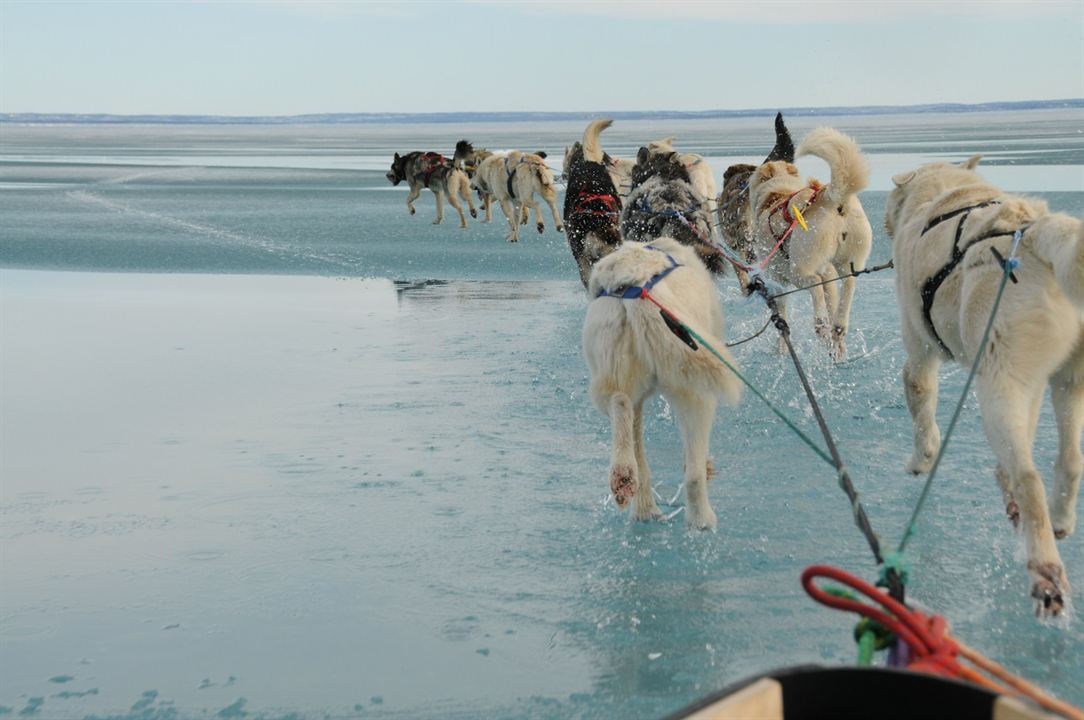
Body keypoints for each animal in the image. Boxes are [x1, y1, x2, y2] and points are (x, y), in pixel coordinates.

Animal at [585, 236, 745, 529]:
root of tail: (635, 284)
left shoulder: (637, 402)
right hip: (694, 390)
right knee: (692, 474)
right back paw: (701, 520)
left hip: (611, 375)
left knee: (621, 404)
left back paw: (630, 487)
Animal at [745, 127, 871, 357]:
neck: (777, 194)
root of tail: (831, 198)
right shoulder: (828, 271)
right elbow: (831, 296)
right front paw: (836, 345)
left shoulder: (779, 277)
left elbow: (782, 309)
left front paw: (781, 346)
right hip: (847, 260)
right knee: (848, 284)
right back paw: (838, 326)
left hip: (799, 268)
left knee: (815, 284)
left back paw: (820, 324)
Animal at [888, 157, 1084, 620]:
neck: (947, 192)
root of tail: (1037, 233)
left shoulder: (919, 350)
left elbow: (920, 402)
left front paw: (920, 460)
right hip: (1063, 379)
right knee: (1069, 458)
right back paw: (1057, 518)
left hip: (997, 385)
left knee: (1029, 476)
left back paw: (1045, 573)